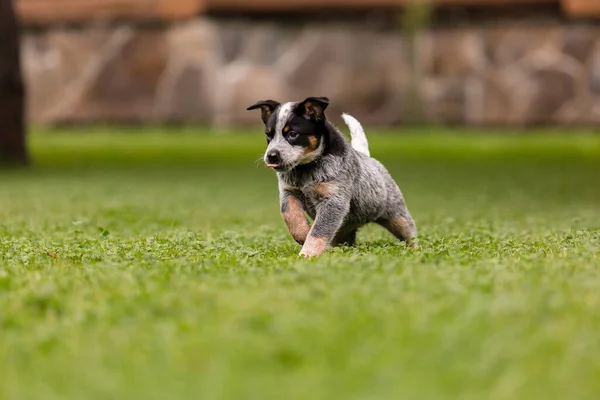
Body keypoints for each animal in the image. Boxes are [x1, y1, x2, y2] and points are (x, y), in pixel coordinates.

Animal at [248, 98, 418, 258]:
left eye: (293, 134)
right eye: (268, 135)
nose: (271, 156)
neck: (306, 170)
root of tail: (368, 157)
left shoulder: (333, 200)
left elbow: (318, 231)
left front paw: (308, 253)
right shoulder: (289, 192)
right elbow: (289, 215)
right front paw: (303, 234)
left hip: (397, 215)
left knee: (410, 233)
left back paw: (416, 250)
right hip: (343, 231)